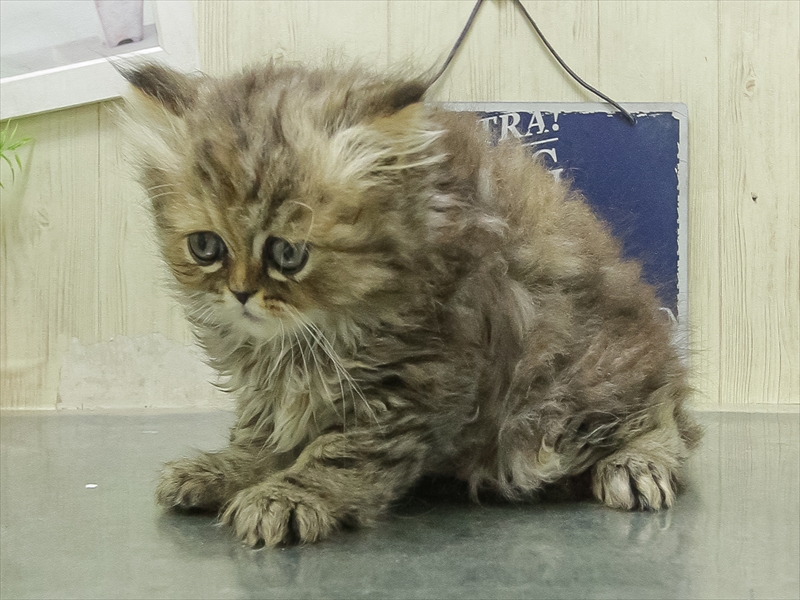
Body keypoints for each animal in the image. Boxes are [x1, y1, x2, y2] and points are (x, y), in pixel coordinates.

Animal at [120, 60, 701, 547]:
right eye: (206, 247)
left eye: (288, 254)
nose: (240, 293)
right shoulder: (275, 388)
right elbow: (263, 439)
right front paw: (225, 471)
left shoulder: (411, 381)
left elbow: (338, 455)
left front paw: (288, 496)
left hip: (563, 400)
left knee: (661, 412)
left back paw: (638, 465)